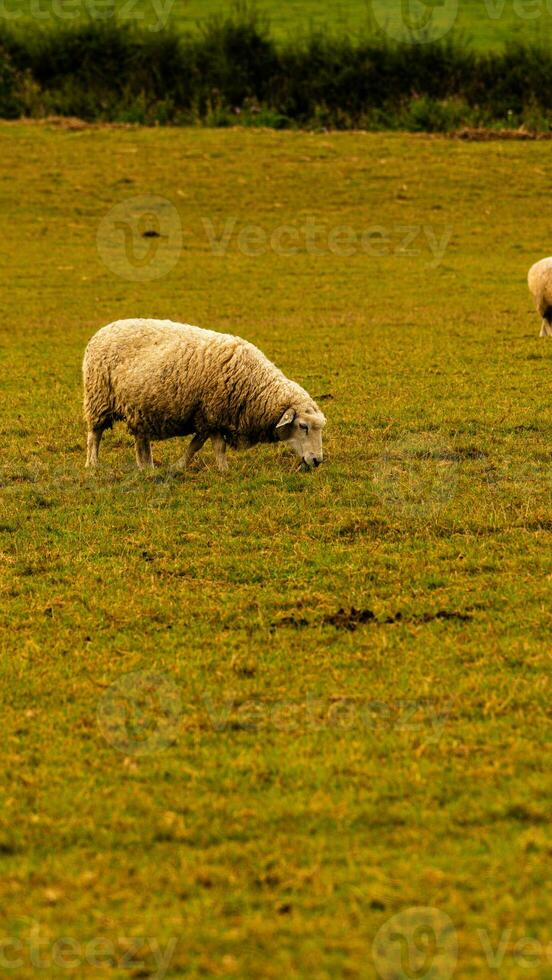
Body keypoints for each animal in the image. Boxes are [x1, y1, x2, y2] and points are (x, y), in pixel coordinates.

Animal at [81, 320, 324, 472]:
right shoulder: (213, 413)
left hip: (140, 406)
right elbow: (213, 446)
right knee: (95, 435)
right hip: (98, 398)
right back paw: (93, 464)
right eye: (303, 426)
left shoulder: (208, 417)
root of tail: (103, 329)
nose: (318, 460)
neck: (255, 385)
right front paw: (223, 469)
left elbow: (196, 444)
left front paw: (179, 466)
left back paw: (147, 468)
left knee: (141, 440)